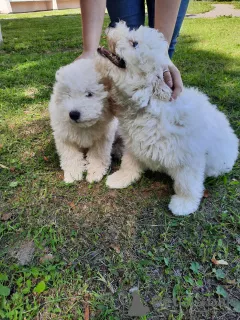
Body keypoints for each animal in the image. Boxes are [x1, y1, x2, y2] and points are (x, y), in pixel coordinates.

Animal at [97, 22, 238, 215]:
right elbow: (129, 163)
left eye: (134, 43)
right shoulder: (134, 144)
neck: (149, 103)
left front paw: (184, 203)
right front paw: (121, 178)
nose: (112, 26)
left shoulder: (189, 159)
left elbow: (187, 183)